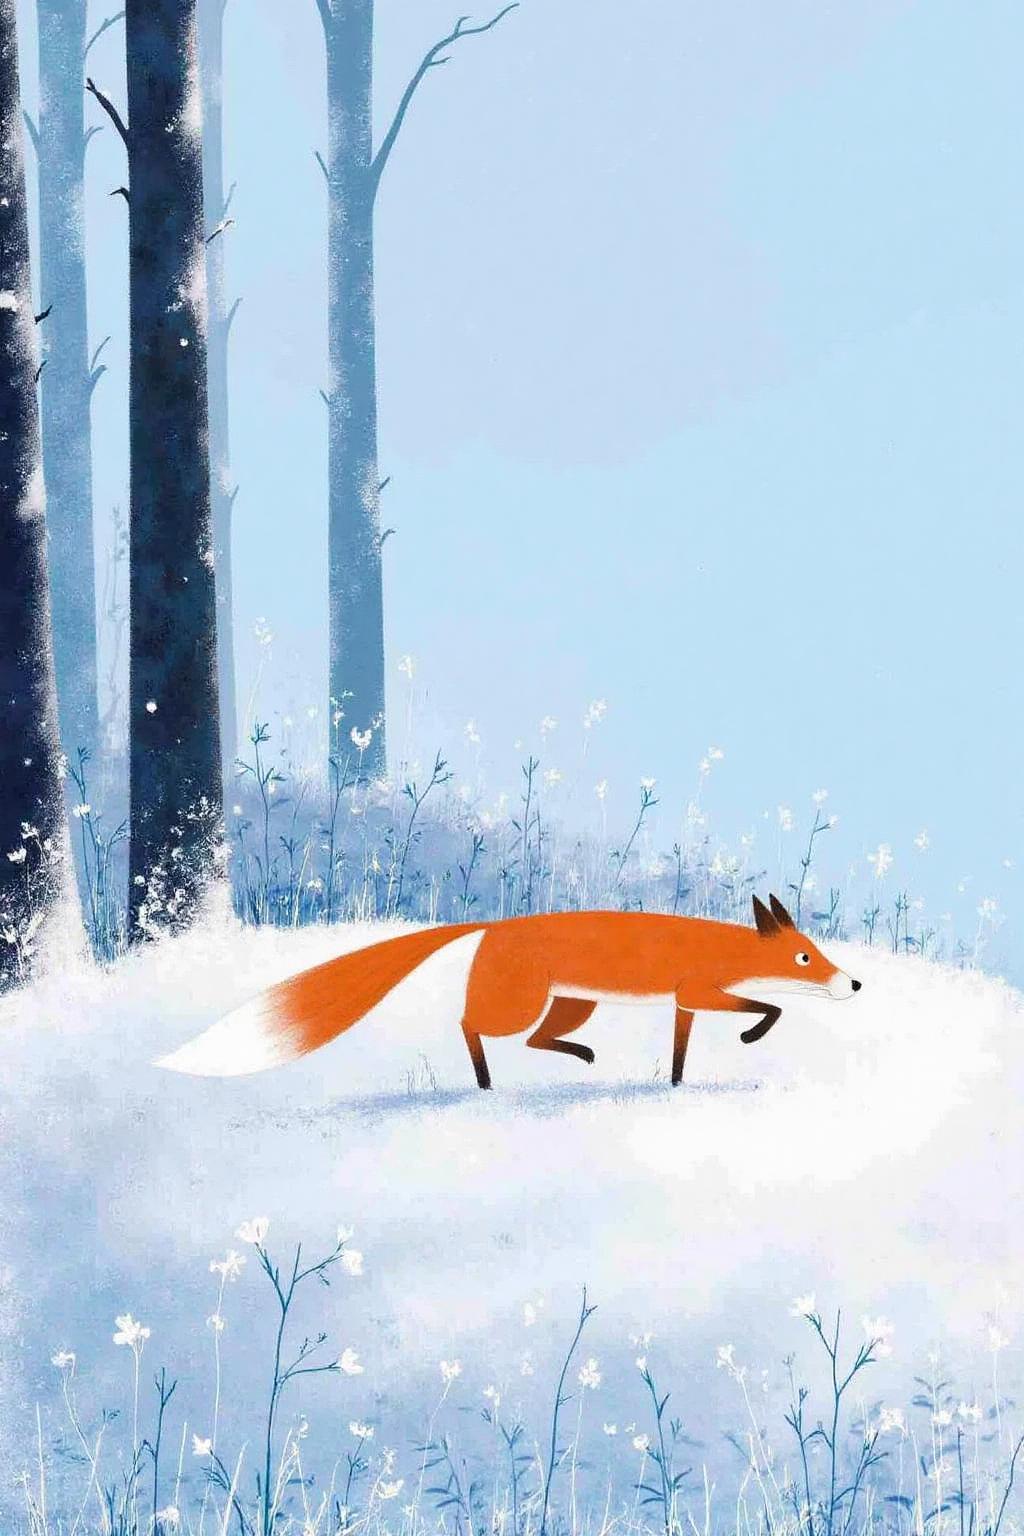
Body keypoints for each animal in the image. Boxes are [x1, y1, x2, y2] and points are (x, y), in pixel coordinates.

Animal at [157, 894, 861, 1089]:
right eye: (805, 956)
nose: (853, 981)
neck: (721, 947)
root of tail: (493, 924)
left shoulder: (685, 1003)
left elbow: (683, 1052)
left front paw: (676, 1086)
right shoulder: (699, 990)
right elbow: (769, 1005)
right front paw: (751, 1032)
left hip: (574, 1004)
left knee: (533, 1040)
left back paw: (579, 1059)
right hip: (521, 1003)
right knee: (473, 1027)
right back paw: (486, 1085)